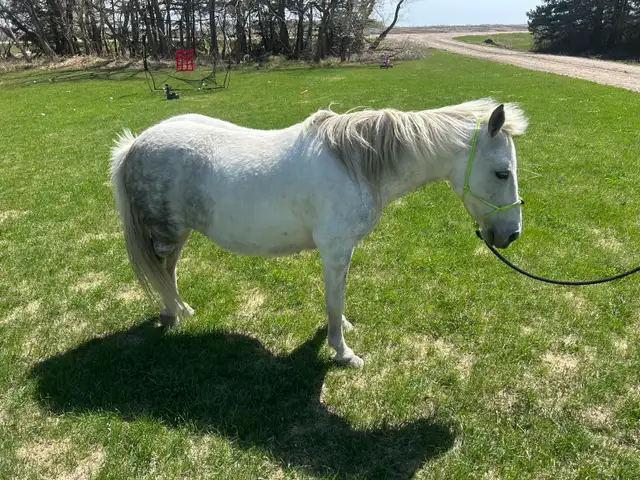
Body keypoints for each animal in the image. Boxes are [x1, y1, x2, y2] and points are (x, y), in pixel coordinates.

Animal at [110, 98, 528, 367]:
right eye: (502, 173)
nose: (511, 235)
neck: (357, 165)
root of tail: (133, 146)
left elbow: (337, 298)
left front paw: (340, 332)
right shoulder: (335, 250)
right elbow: (334, 300)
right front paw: (343, 353)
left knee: (168, 272)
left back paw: (181, 309)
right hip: (168, 235)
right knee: (163, 272)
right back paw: (173, 313)